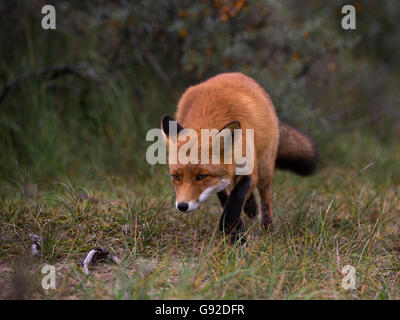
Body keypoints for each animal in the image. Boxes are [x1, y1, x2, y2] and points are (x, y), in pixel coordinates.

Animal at [161, 72, 318, 242]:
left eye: (201, 176)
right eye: (176, 177)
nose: (182, 206)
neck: (208, 112)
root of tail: (236, 74)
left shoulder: (250, 169)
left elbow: (237, 197)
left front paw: (229, 224)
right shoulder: (224, 180)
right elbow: (228, 201)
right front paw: (237, 234)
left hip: (265, 167)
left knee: (265, 198)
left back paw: (267, 227)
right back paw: (250, 209)